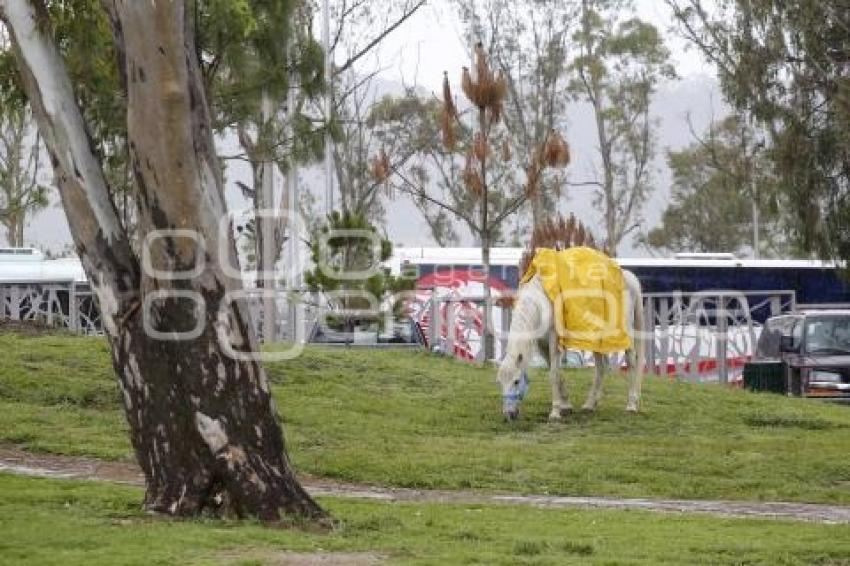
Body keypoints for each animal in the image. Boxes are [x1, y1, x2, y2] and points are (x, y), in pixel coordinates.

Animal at [494, 272, 644, 424]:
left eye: (516, 381)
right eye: (500, 382)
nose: (509, 415)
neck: (543, 299)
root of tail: (629, 277)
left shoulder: (554, 340)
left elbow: (554, 375)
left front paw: (555, 412)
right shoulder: (542, 344)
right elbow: (557, 373)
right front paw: (565, 406)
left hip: (623, 333)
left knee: (631, 360)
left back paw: (631, 405)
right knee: (601, 367)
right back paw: (590, 404)